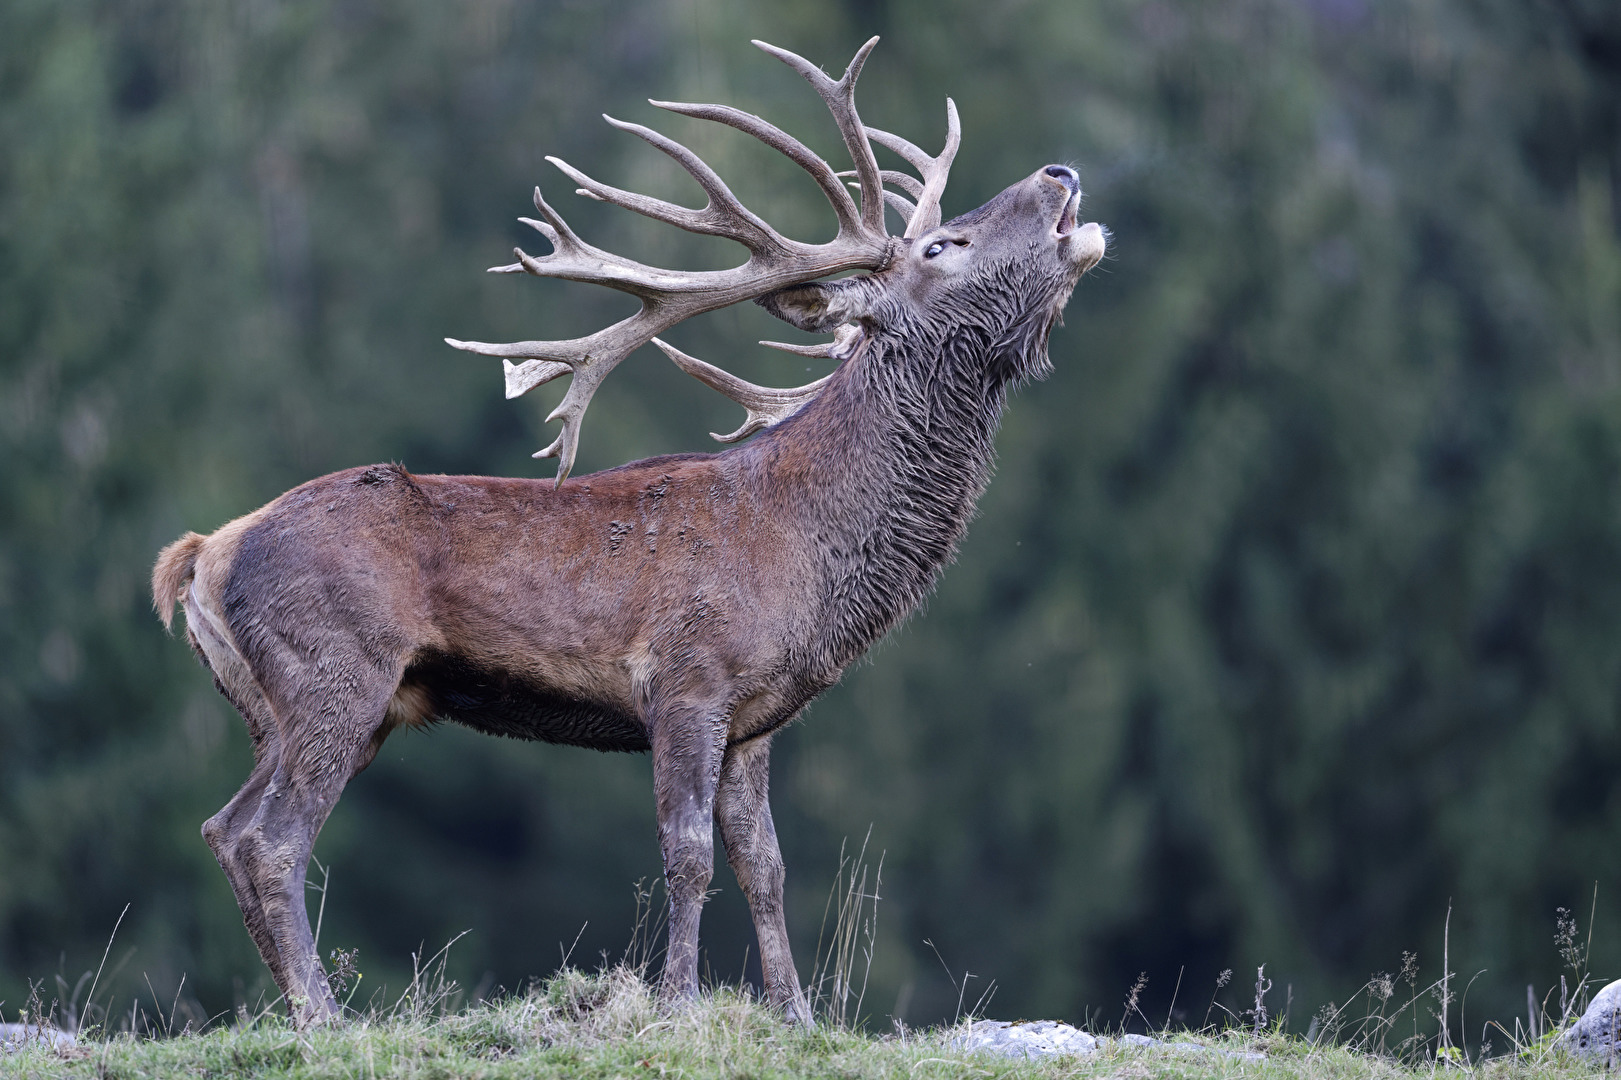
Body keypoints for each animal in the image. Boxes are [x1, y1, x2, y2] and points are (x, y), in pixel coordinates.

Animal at [151, 37, 1106, 1028]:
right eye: (939, 245)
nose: (1059, 170)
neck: (802, 539)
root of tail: (200, 557)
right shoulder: (687, 677)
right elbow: (686, 854)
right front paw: (678, 1000)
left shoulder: (756, 718)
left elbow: (765, 866)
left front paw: (797, 1014)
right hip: (336, 671)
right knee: (272, 839)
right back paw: (323, 1015)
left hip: (286, 707)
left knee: (224, 827)